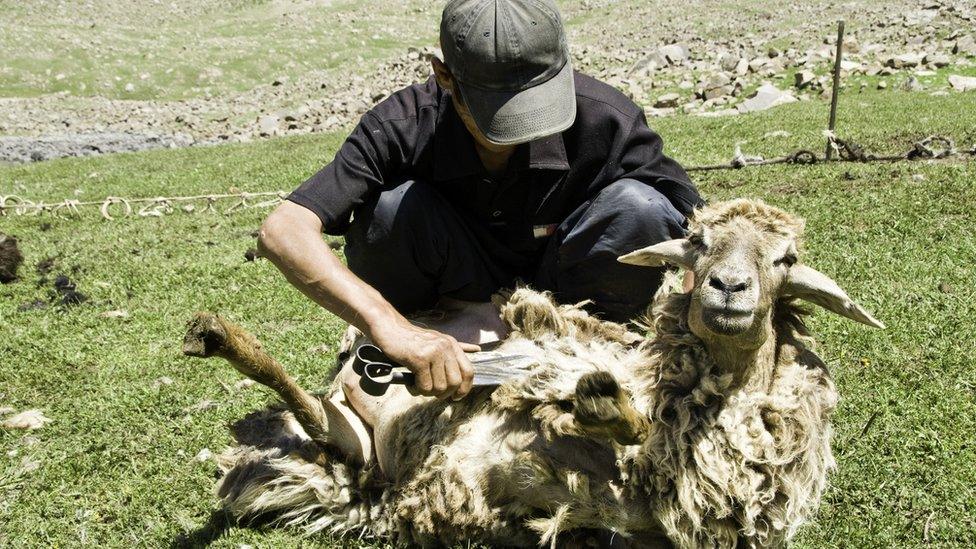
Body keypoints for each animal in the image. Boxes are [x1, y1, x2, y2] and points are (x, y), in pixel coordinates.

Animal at [183, 197, 884, 544]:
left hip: (350, 460)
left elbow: (619, 428)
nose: (729, 288)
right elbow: (591, 392)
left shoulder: (627, 508)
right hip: (346, 442)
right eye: (697, 242)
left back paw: (219, 339)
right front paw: (600, 397)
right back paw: (215, 335)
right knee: (297, 393)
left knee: (309, 411)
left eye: (785, 258)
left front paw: (602, 403)